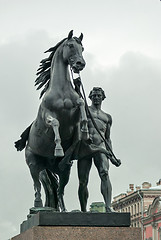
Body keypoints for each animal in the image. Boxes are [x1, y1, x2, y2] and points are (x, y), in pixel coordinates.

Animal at [16, 30, 88, 212]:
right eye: (70, 45)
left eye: (82, 48)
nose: (80, 64)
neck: (61, 91)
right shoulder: (47, 116)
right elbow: (55, 123)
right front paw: (58, 148)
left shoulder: (75, 118)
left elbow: (81, 107)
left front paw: (85, 132)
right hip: (34, 165)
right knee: (37, 186)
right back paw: (37, 206)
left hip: (61, 173)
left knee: (59, 190)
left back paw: (64, 209)